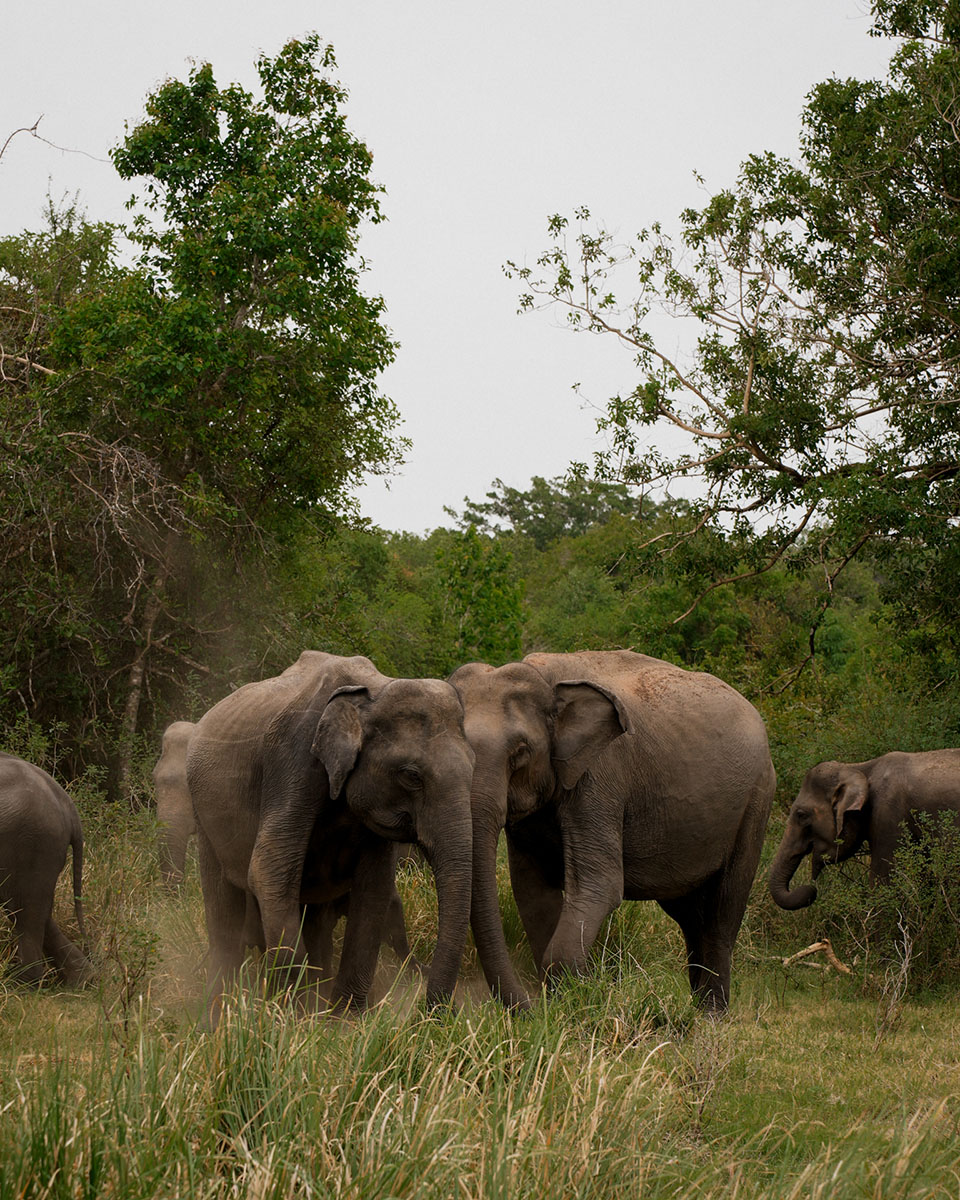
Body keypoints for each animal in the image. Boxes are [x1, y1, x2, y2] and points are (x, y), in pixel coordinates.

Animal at [186, 652, 475, 1008]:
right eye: (411, 775)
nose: (428, 1009)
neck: (372, 692)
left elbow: (374, 889)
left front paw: (343, 1015)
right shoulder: (293, 760)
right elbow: (269, 871)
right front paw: (295, 1009)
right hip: (203, 812)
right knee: (223, 905)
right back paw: (220, 1005)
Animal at [451, 652, 777, 1008]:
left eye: (520, 752)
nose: (528, 1008)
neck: (544, 675)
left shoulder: (600, 778)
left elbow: (600, 884)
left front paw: (575, 998)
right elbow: (531, 891)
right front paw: (563, 1001)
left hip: (756, 802)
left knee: (723, 911)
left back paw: (711, 1015)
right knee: (690, 916)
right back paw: (697, 1007)